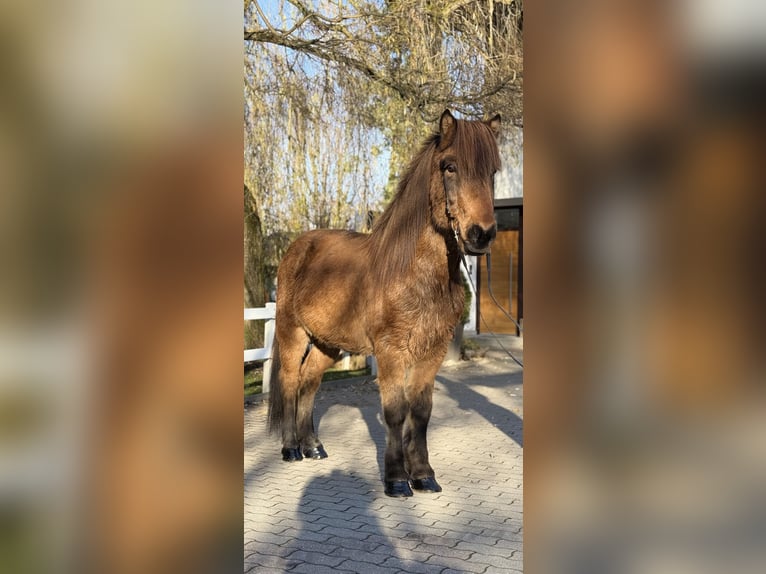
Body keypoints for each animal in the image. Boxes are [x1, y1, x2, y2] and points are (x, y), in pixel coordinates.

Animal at [268, 110, 501, 497]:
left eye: (494, 171)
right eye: (449, 166)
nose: (481, 235)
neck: (414, 274)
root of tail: (297, 247)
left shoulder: (431, 353)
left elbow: (420, 412)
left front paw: (423, 475)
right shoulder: (391, 351)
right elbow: (395, 411)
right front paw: (395, 479)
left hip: (327, 344)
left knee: (309, 382)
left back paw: (314, 446)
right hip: (293, 333)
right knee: (289, 381)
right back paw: (290, 448)